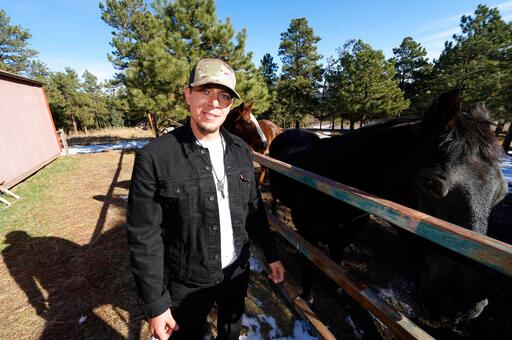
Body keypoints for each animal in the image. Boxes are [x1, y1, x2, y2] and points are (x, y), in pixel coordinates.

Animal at [268, 90, 508, 326]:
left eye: (502, 193)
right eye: (429, 183)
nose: (463, 307)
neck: (328, 185)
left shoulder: (342, 239)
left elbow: (335, 263)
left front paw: (336, 290)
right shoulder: (307, 234)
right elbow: (309, 262)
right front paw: (307, 296)